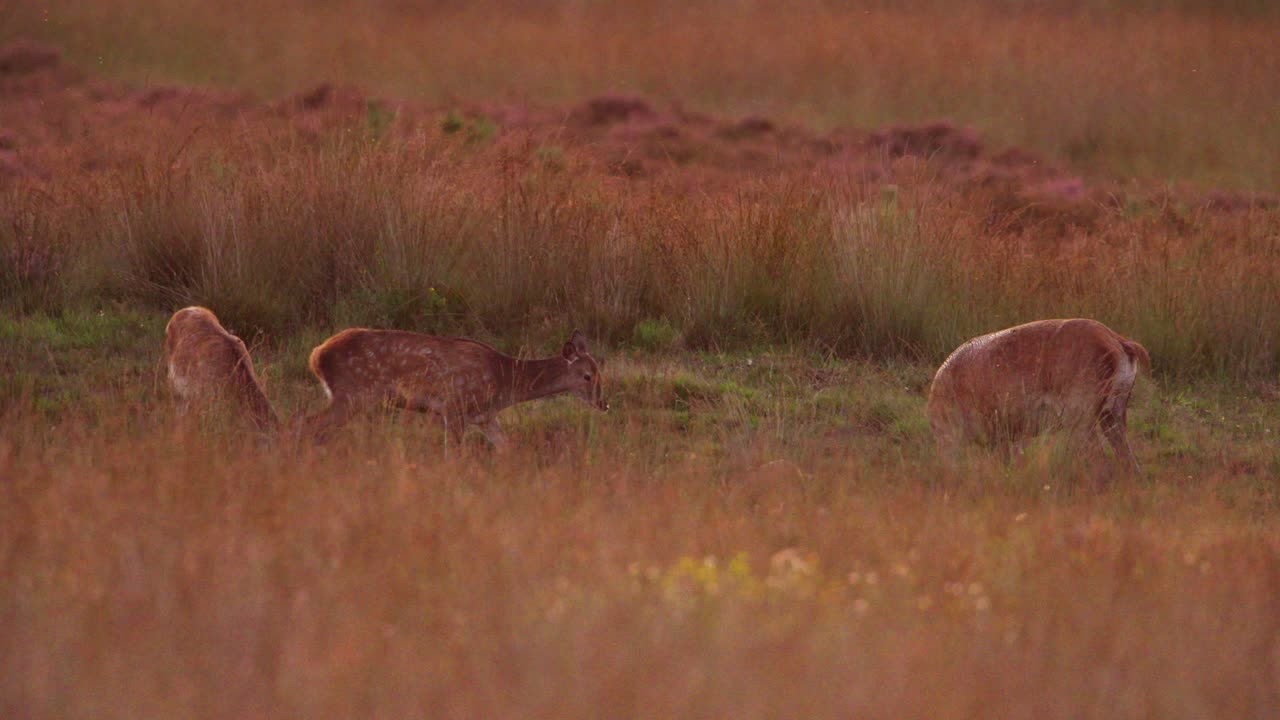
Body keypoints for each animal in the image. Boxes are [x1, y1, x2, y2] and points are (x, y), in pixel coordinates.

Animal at [302, 328, 608, 449]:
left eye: (599, 371)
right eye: (587, 376)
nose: (603, 403)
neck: (503, 381)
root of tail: (316, 356)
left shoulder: (484, 417)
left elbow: (508, 447)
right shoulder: (453, 407)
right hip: (354, 393)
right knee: (305, 423)